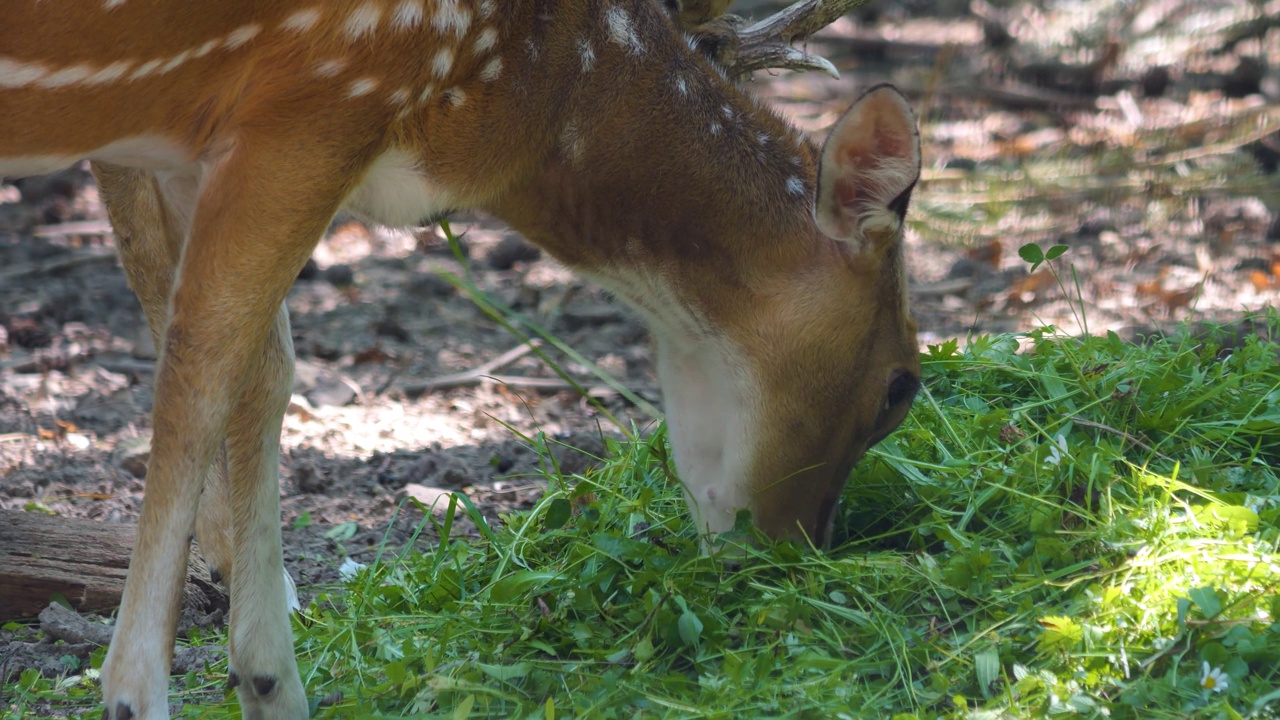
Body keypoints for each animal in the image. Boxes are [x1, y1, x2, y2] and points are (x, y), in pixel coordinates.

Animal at [0, 0, 921, 712]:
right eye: (902, 389)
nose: (799, 555)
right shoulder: (319, 95)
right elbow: (207, 359)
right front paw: (138, 694)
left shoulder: (186, 143)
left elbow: (258, 365)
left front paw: (269, 679)